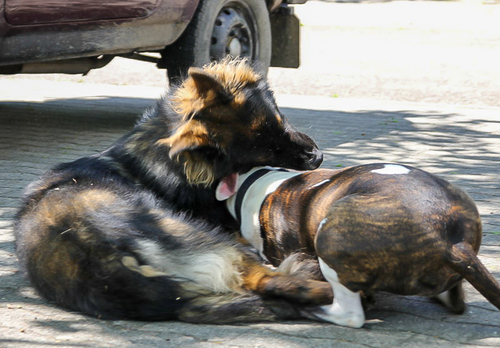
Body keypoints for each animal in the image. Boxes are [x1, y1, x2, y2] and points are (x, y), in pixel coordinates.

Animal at [12, 57, 332, 324]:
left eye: (279, 122)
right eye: (266, 153)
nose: (317, 158)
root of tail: (110, 267)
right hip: (207, 237)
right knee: (268, 280)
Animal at [218, 163, 500, 326]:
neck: (255, 182)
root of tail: (453, 241)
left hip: (329, 236)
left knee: (350, 314)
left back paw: (303, 307)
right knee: (454, 299)